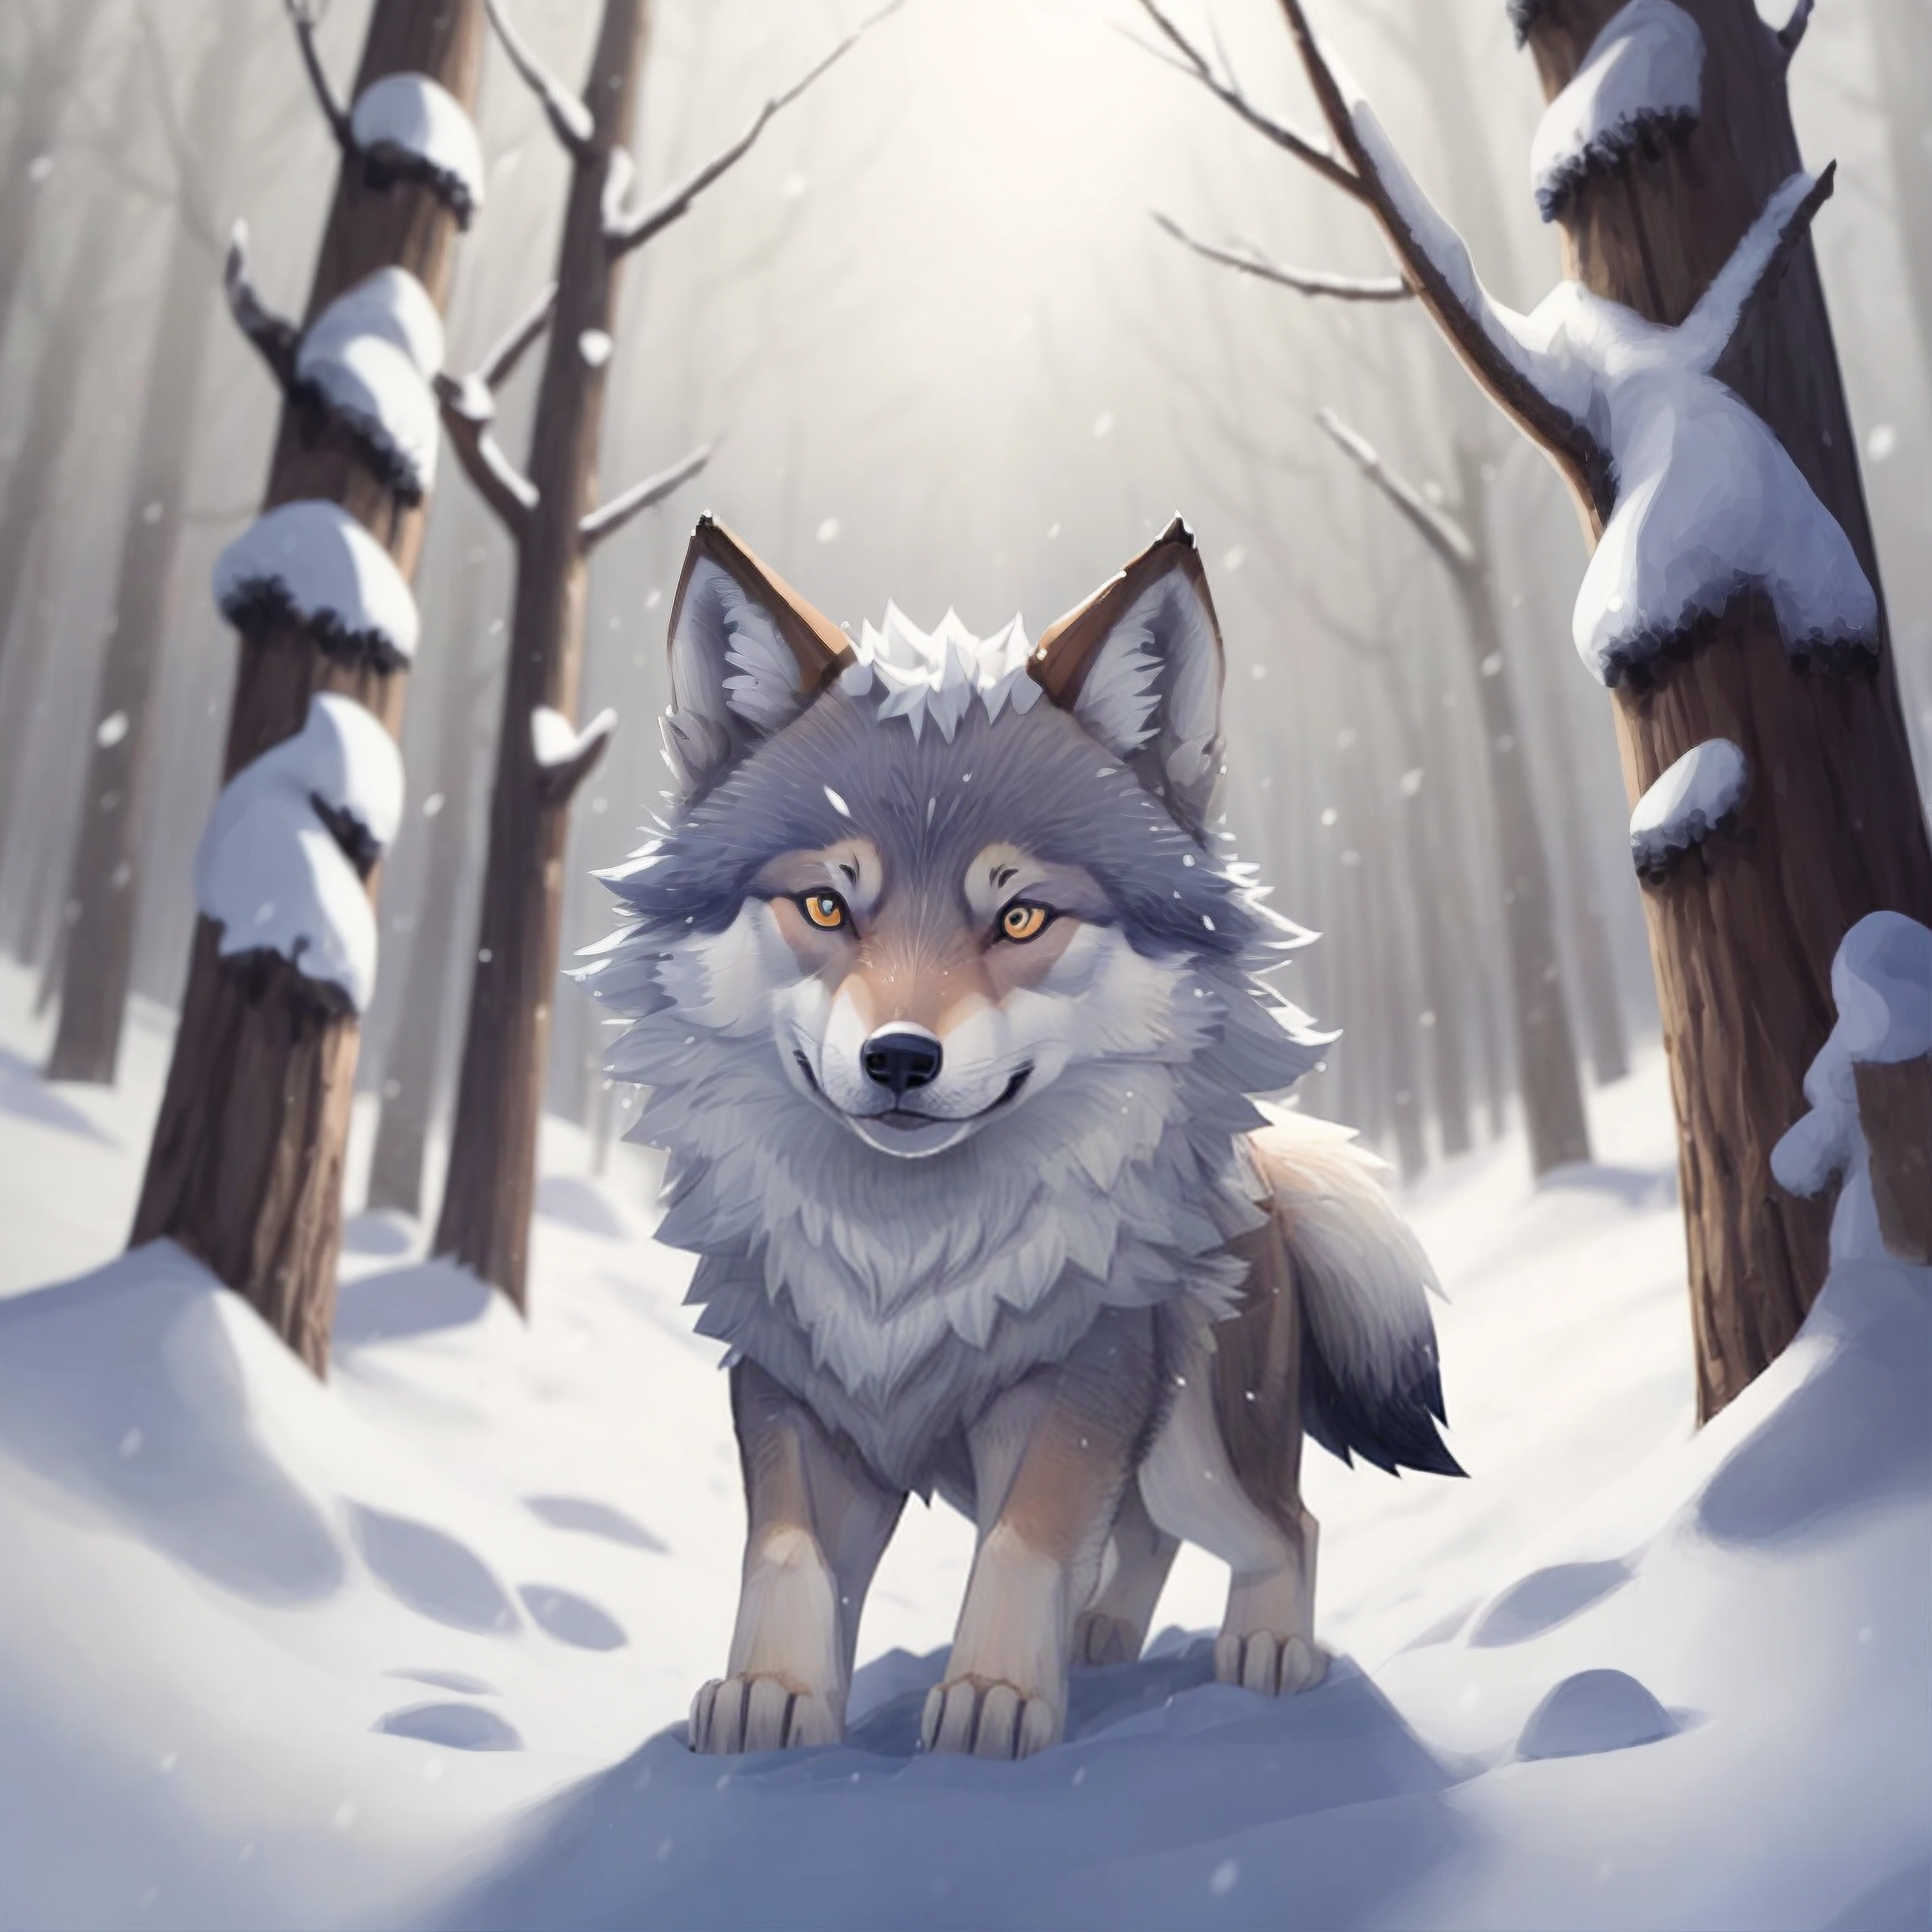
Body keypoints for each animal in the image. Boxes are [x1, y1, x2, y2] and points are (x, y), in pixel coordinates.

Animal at [583, 514, 1462, 1761]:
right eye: (825, 905)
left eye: (1019, 916)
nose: (900, 1059)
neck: (905, 1252)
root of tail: (1261, 1160)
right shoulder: (794, 1391)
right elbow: (787, 1556)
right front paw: (775, 1696)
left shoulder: (1073, 1385)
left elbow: (1020, 1542)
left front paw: (994, 1696)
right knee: (1144, 1536)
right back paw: (1101, 1639)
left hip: (1194, 1449)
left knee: (1285, 1521)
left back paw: (1265, 1653)